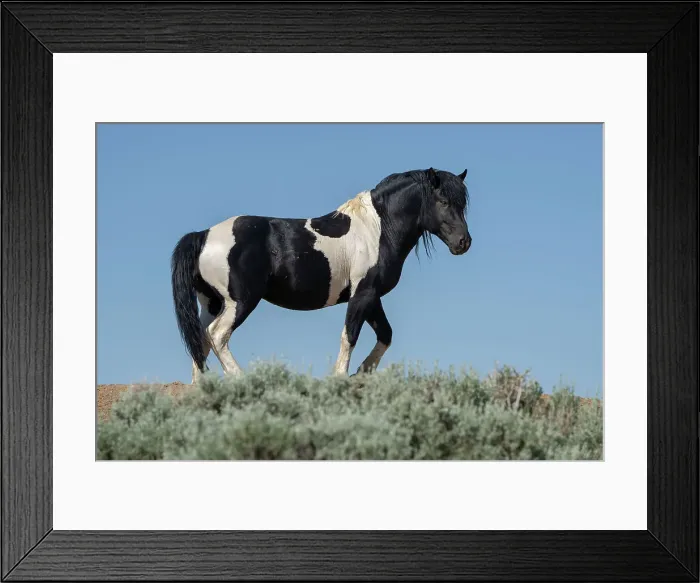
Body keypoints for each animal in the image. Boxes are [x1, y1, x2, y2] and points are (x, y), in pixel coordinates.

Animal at [171, 167, 472, 383]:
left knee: (200, 339)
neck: (377, 228)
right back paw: (241, 378)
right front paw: (341, 376)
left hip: (211, 303)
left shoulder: (372, 295)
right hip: (240, 301)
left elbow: (385, 334)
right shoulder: (363, 293)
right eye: (443, 201)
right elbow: (349, 334)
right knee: (217, 335)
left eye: (462, 205)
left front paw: (361, 373)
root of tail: (203, 235)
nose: (463, 242)